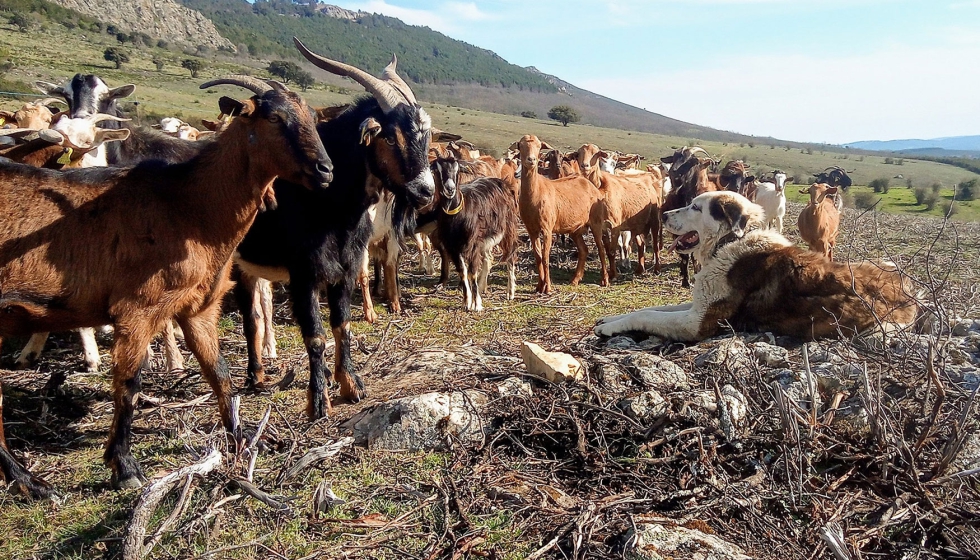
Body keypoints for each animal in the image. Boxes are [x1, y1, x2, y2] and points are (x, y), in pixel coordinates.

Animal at [0, 75, 332, 498]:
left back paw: (29, 481)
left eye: (312, 117)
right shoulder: (137, 310)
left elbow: (219, 373)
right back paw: (31, 481)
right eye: (273, 118)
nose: (326, 169)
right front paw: (125, 467)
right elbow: (129, 383)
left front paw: (242, 439)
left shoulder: (198, 308)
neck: (188, 205)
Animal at [232, 38, 434, 420]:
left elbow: (343, 325)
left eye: (424, 134)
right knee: (249, 316)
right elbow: (315, 335)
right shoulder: (304, 275)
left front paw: (350, 384)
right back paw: (254, 376)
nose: (426, 190)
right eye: (389, 136)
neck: (333, 204)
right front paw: (319, 400)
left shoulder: (346, 267)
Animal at [430, 155, 520, 310]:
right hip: (485, 238)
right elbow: (463, 272)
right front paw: (467, 302)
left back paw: (510, 292)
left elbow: (472, 272)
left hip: (508, 228)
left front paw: (476, 304)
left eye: (457, 170)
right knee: (489, 257)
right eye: (437, 170)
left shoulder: (472, 244)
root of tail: (502, 182)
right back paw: (483, 286)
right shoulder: (452, 246)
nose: (450, 189)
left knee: (511, 255)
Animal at [512, 135, 604, 294]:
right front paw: (539, 286)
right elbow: (537, 256)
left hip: (596, 223)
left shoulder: (547, 229)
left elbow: (545, 257)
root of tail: (591, 186)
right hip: (575, 229)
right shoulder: (532, 229)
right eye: (521, 146)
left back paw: (605, 280)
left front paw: (547, 287)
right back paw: (575, 280)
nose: (531, 160)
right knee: (584, 250)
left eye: (539, 146)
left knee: (602, 249)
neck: (536, 193)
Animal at [592, 191, 924, 342]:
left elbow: (648, 315)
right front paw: (611, 317)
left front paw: (609, 327)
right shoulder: (698, 304)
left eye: (696, 207)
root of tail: (910, 294)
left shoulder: (698, 322)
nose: (662, 214)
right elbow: (652, 308)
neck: (729, 241)